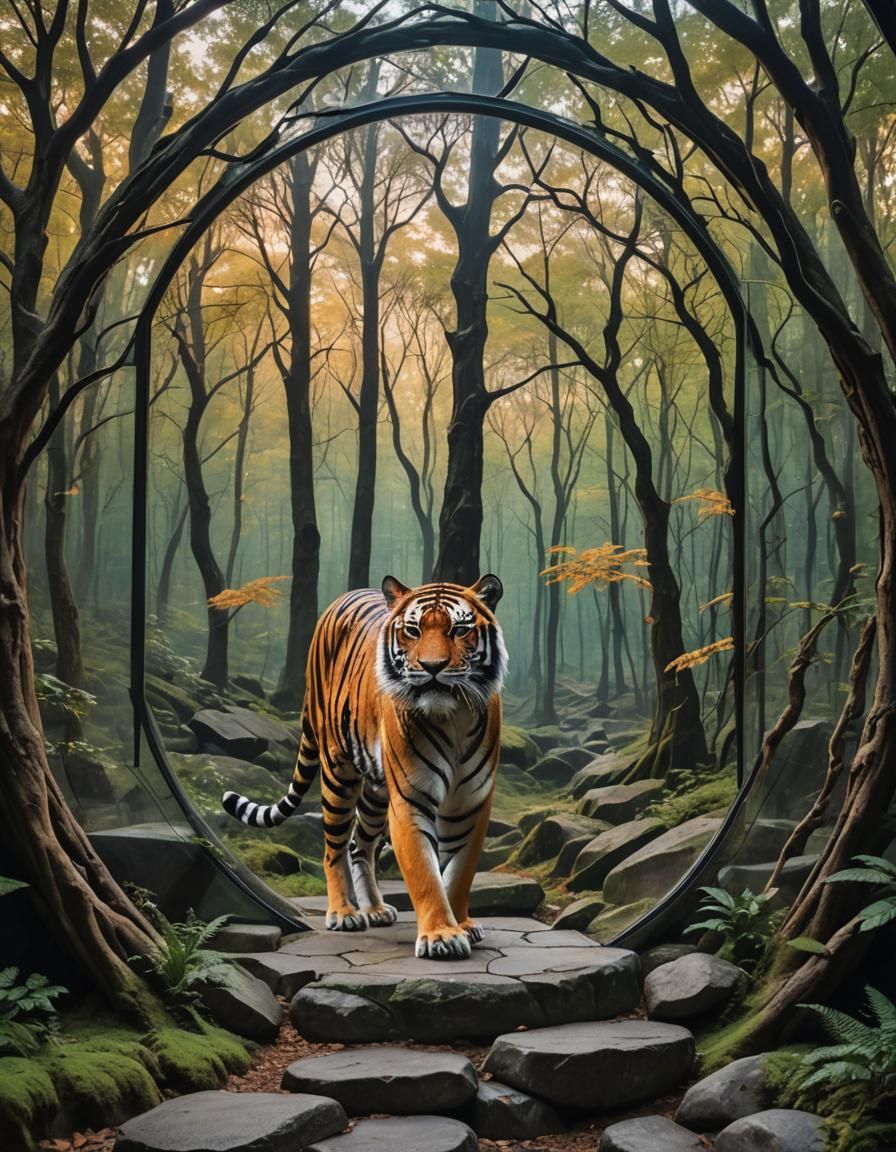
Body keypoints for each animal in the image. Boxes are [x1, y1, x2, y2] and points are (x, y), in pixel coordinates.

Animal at [222, 574, 506, 960]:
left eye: (460, 630)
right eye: (413, 630)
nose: (432, 667)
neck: (453, 717)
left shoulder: (470, 803)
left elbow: (459, 873)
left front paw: (461, 924)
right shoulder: (411, 800)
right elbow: (425, 872)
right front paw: (441, 936)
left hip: (376, 789)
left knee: (361, 845)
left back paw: (373, 908)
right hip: (338, 773)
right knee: (334, 847)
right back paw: (344, 913)